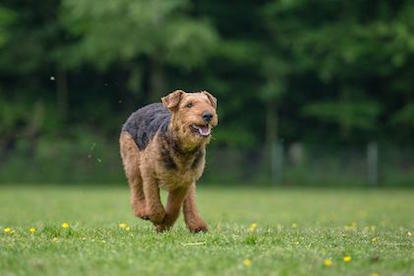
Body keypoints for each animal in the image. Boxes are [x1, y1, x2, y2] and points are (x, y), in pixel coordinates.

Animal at [119, 90, 218, 233]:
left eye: (208, 103)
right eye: (189, 105)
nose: (208, 115)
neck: (183, 149)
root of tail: (140, 109)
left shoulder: (184, 182)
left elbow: (174, 207)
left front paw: (163, 224)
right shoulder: (149, 172)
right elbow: (153, 200)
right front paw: (158, 218)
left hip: (191, 180)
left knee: (189, 201)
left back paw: (197, 225)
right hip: (133, 164)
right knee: (136, 190)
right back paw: (143, 212)